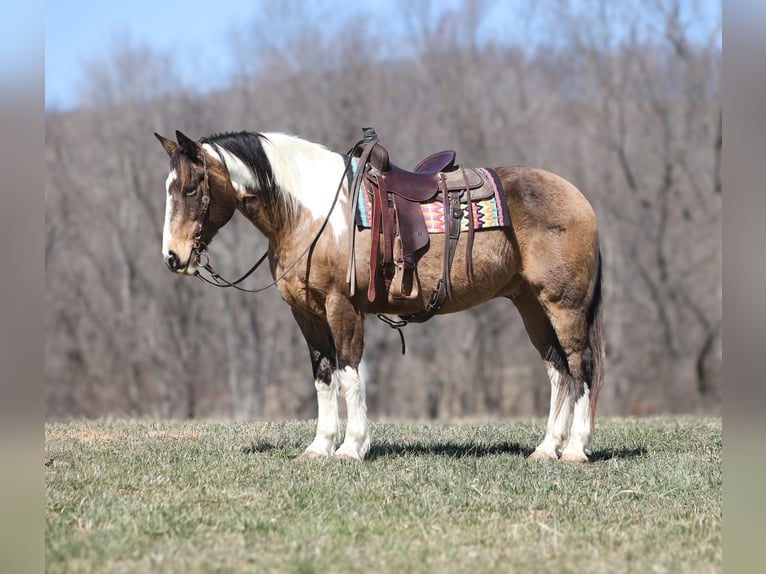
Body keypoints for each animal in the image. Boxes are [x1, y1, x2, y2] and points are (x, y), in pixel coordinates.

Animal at [154, 129, 608, 464]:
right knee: (558, 371)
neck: (310, 212)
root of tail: (581, 200)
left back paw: (574, 449)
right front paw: (320, 446)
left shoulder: (342, 306)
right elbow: (323, 377)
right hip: (530, 305)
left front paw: (351, 447)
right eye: (169, 187)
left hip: (563, 306)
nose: (173, 257)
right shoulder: (307, 314)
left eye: (191, 188)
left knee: (580, 366)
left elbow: (350, 373)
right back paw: (547, 448)